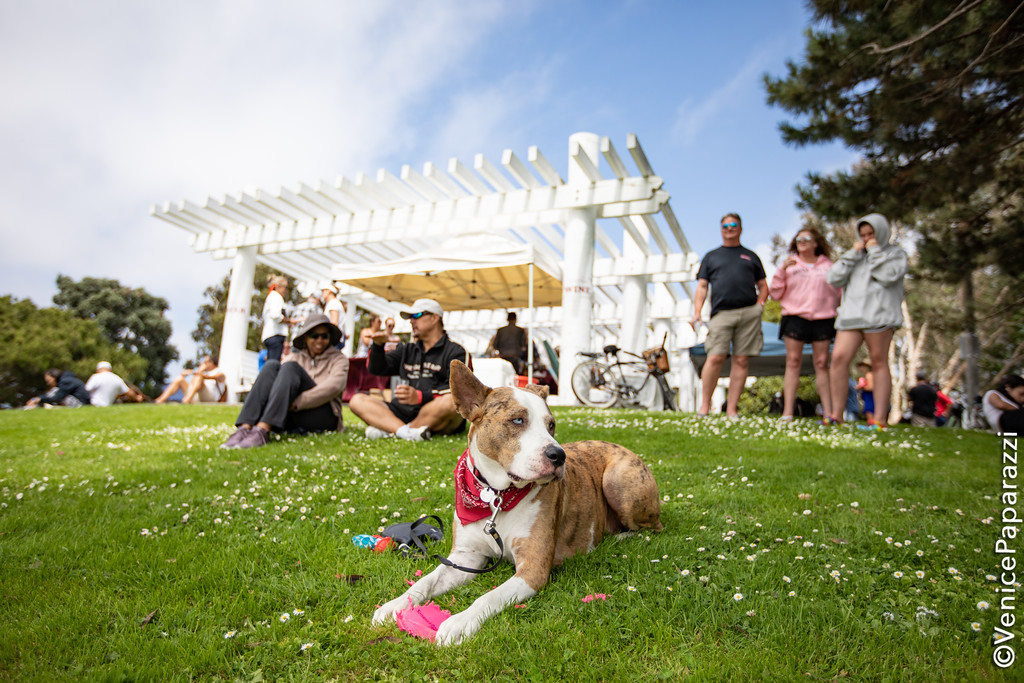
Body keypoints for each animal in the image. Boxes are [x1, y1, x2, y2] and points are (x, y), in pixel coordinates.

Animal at [372, 360, 659, 643]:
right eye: (518, 420)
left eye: (551, 425)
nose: (558, 455)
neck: (496, 497)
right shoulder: (465, 558)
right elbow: (425, 581)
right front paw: (393, 605)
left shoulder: (532, 568)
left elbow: (489, 596)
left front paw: (459, 622)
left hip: (618, 479)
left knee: (652, 527)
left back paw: (620, 536)